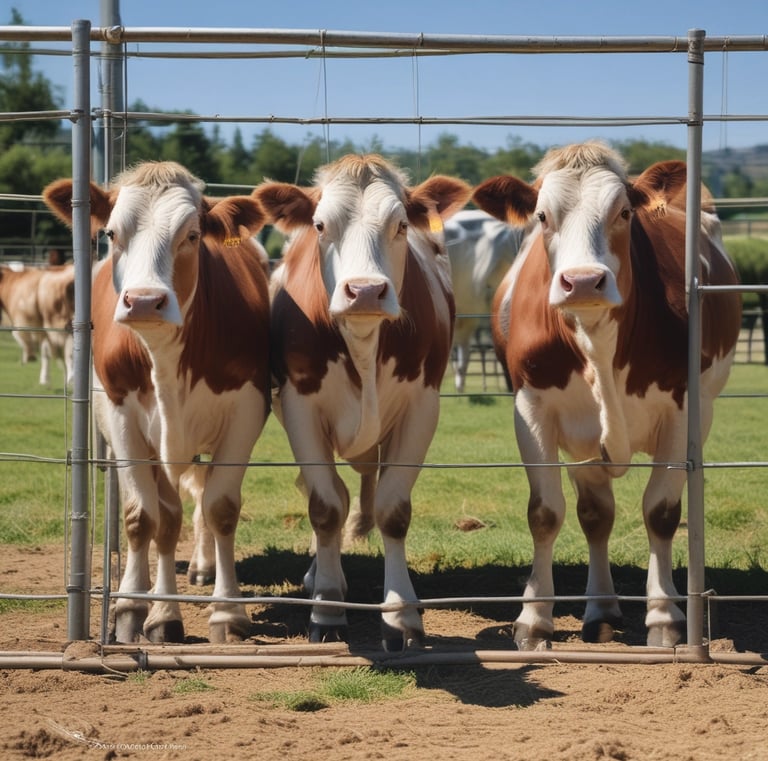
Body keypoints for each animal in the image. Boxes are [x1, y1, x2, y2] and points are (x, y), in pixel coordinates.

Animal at [43, 161, 271, 644]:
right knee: (160, 515)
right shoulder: (120, 414)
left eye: (192, 234)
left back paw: (201, 567)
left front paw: (228, 612)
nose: (145, 301)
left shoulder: (246, 409)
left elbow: (220, 508)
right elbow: (145, 517)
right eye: (112, 233)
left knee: (198, 497)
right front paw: (144, 609)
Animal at [253, 154, 471, 650]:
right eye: (320, 224)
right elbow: (325, 507)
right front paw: (328, 607)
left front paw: (401, 615)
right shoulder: (300, 407)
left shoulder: (421, 407)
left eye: (401, 224)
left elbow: (392, 510)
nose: (366, 290)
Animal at [472, 141, 741, 650]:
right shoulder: (532, 409)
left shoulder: (683, 410)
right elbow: (547, 512)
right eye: (542, 215)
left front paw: (664, 617)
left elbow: (661, 512)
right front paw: (534, 619)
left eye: (625, 212)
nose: (581, 281)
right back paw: (599, 609)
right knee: (596, 513)